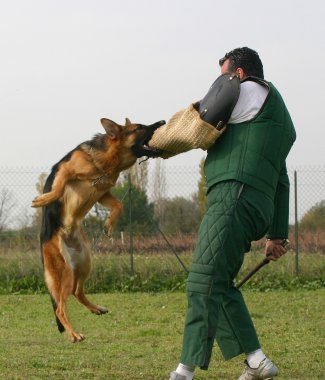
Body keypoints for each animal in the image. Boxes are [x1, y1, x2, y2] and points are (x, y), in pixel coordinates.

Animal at [31, 117, 163, 342]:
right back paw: (74, 334)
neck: (106, 162)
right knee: (60, 308)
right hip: (65, 273)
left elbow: (119, 205)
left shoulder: (103, 193)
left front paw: (109, 224)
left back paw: (96, 309)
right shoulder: (65, 170)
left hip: (85, 264)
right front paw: (44, 199)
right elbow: (57, 188)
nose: (162, 121)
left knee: (77, 293)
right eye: (139, 128)